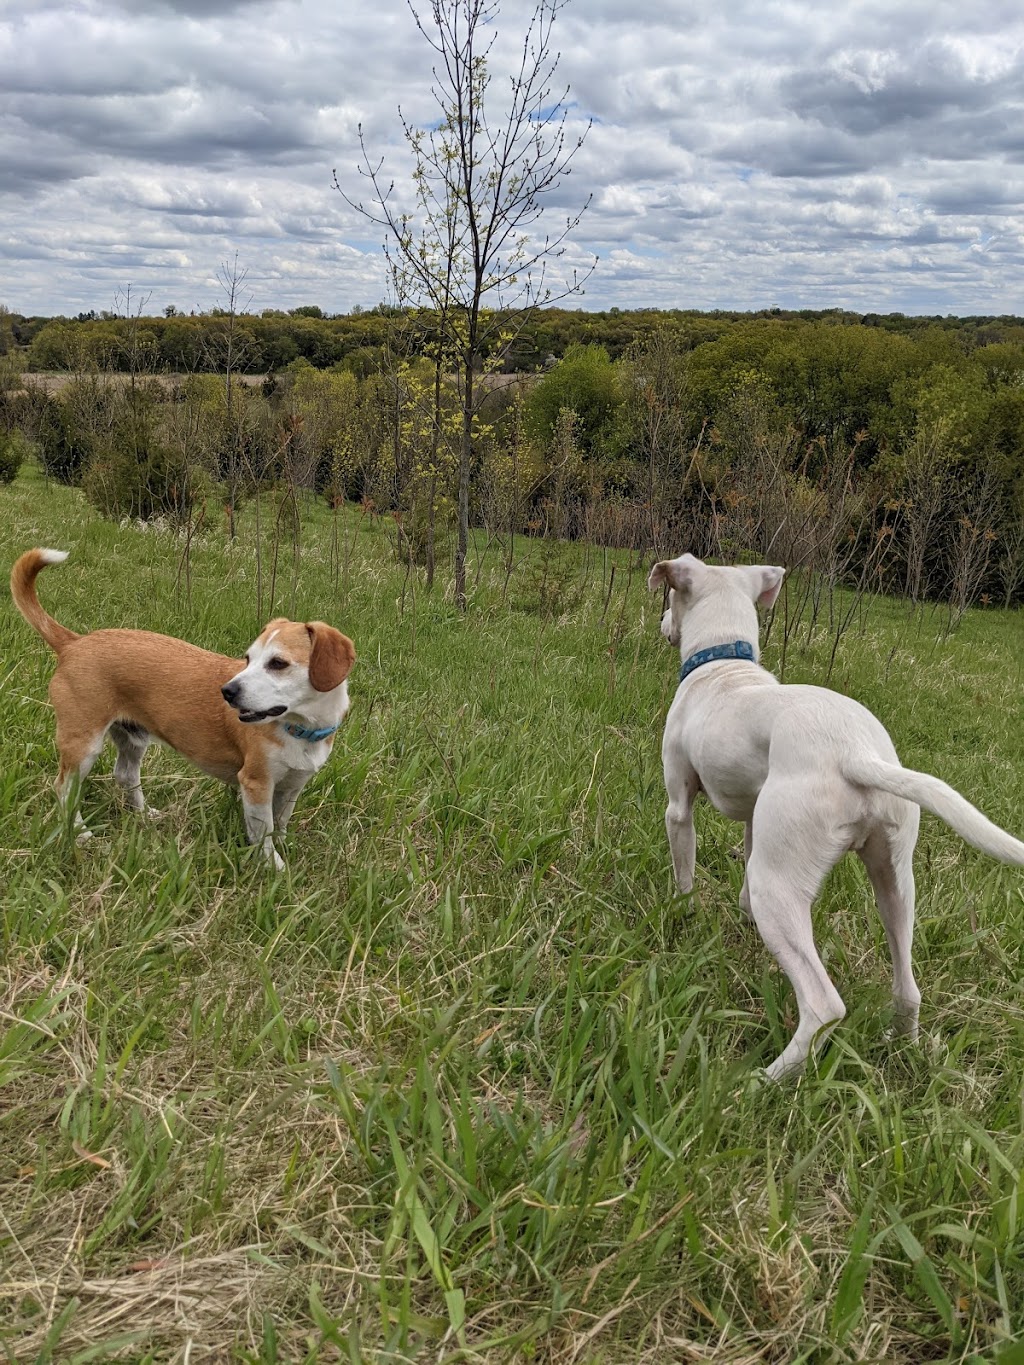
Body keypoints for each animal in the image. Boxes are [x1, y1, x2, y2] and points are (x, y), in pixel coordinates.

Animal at [10, 548, 357, 868]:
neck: (300, 728)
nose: (228, 691)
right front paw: (275, 868)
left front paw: (285, 850)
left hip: (132, 737)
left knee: (125, 774)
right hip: (83, 743)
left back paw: (144, 815)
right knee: (64, 788)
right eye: (248, 659)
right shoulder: (256, 783)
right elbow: (264, 835)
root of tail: (74, 643)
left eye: (278, 663)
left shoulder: (292, 786)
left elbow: (280, 825)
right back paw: (82, 834)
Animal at [649, 551, 1024, 1075]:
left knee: (824, 1006)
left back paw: (762, 1080)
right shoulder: (754, 820)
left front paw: (681, 919)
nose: (661, 622)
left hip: (778, 885)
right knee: (909, 987)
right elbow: (742, 878)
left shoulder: (679, 807)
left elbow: (684, 874)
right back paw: (901, 1050)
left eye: (669, 595)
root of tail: (855, 754)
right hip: (894, 883)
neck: (723, 665)